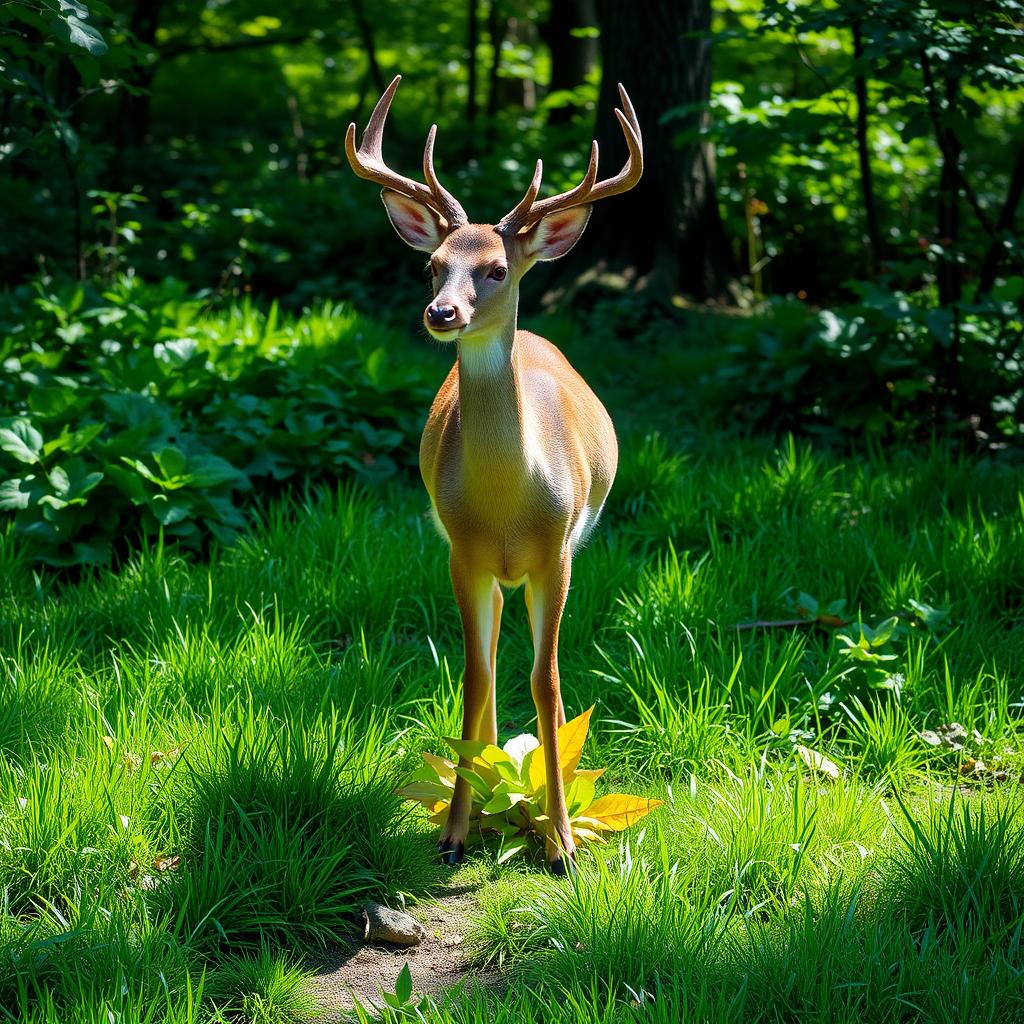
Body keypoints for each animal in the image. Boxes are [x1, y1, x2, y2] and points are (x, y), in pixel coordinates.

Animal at [348, 75, 643, 872]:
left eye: (497, 269)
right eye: (431, 264)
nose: (440, 311)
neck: (511, 505)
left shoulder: (558, 553)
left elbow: (547, 682)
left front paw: (561, 840)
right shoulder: (461, 551)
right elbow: (475, 675)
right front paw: (455, 829)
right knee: (485, 658)